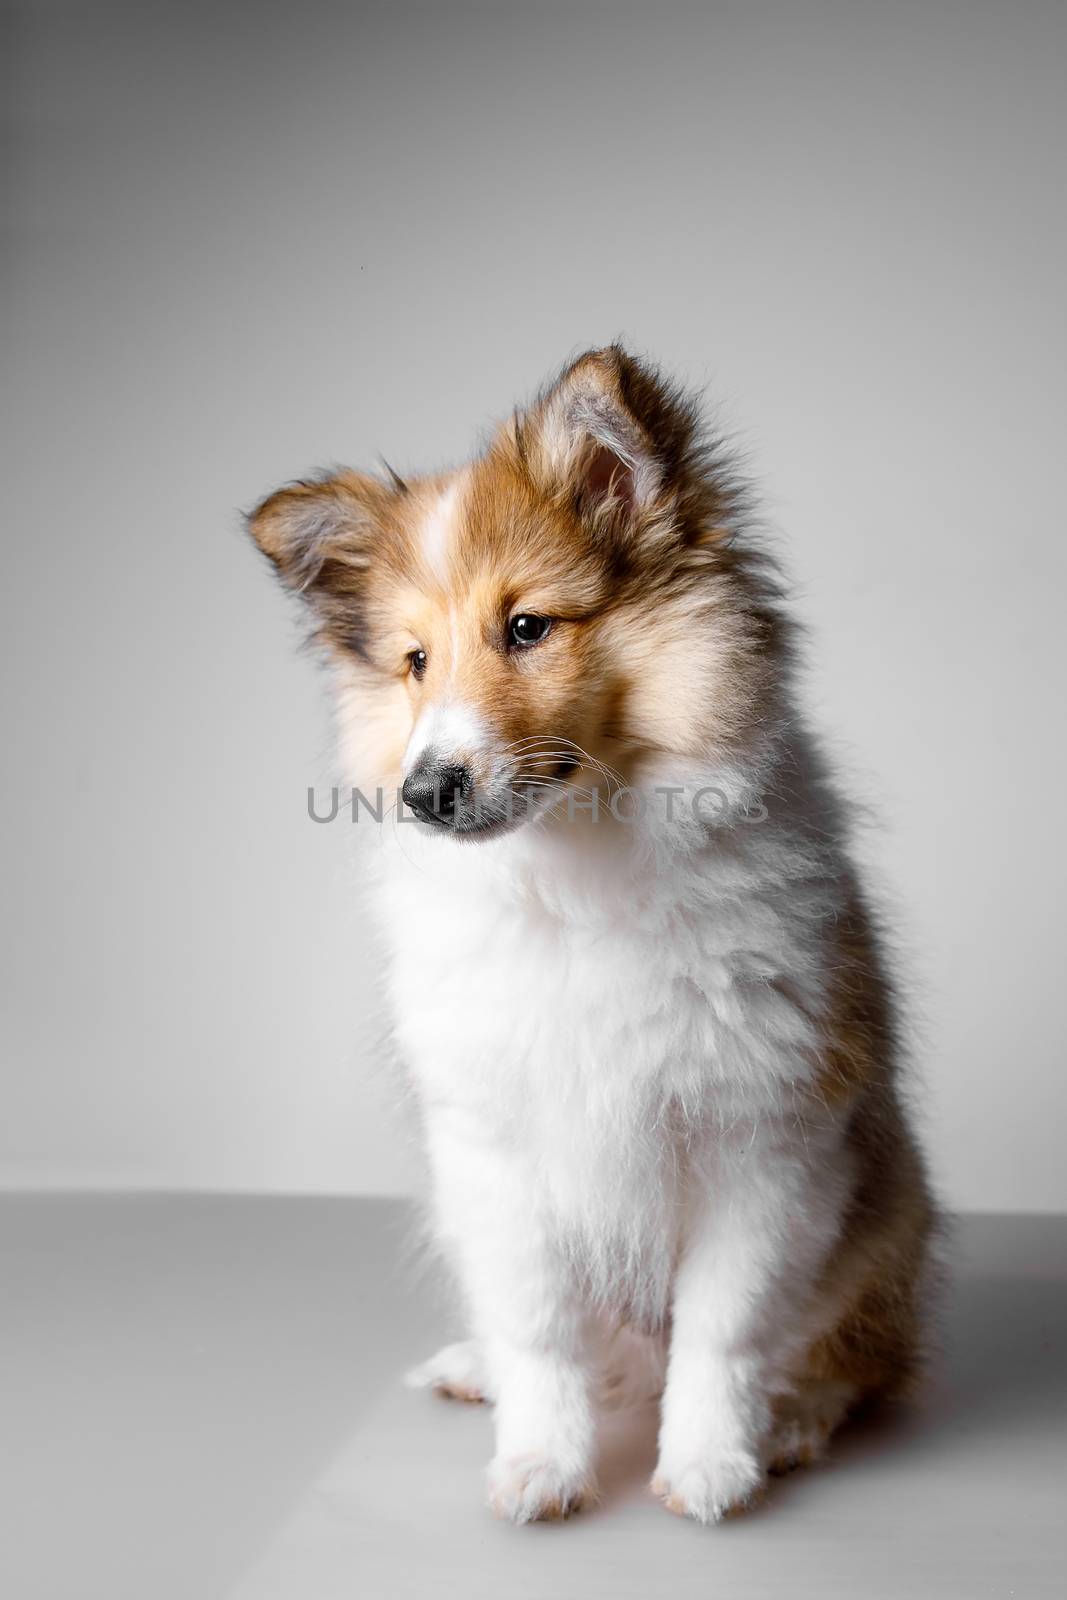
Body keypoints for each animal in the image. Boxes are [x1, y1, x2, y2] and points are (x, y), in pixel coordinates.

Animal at [251, 347, 934, 1523]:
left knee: (852, 1355)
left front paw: (706, 1469)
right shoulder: (492, 1148)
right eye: (414, 661)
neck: (573, 881)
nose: (426, 791)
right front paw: (540, 1467)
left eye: (527, 628)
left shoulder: (759, 1143)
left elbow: (723, 1330)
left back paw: (789, 1423)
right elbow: (538, 1331)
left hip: (883, 1216)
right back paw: (472, 1370)